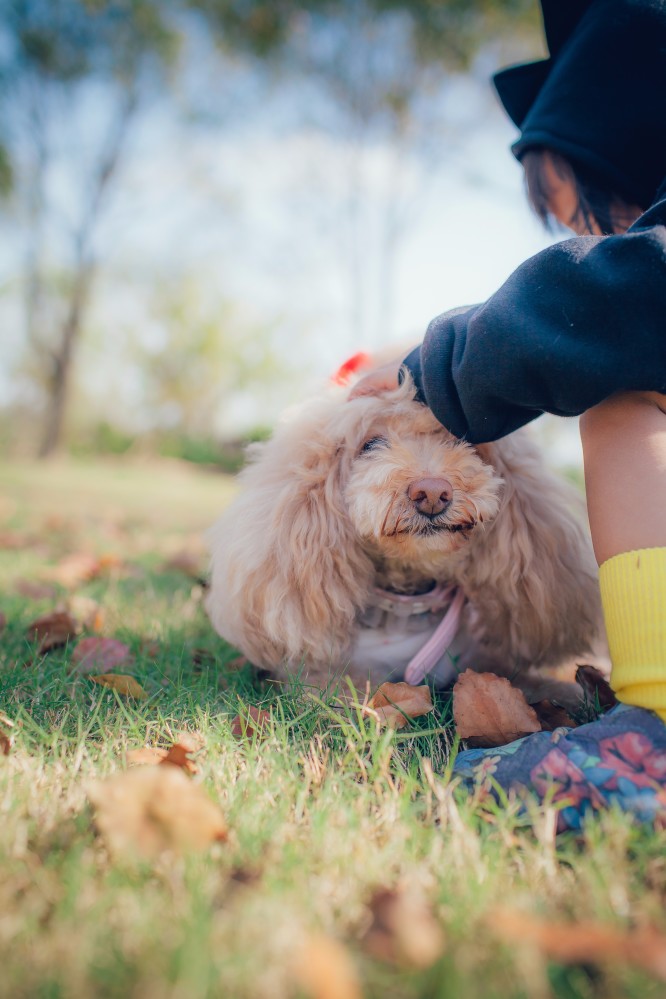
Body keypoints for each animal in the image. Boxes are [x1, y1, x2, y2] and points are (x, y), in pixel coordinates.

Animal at [205, 376, 600, 704]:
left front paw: (570, 693)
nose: (432, 492)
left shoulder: (482, 657)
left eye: (462, 440)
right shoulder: (322, 674)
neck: (407, 606)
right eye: (372, 444)